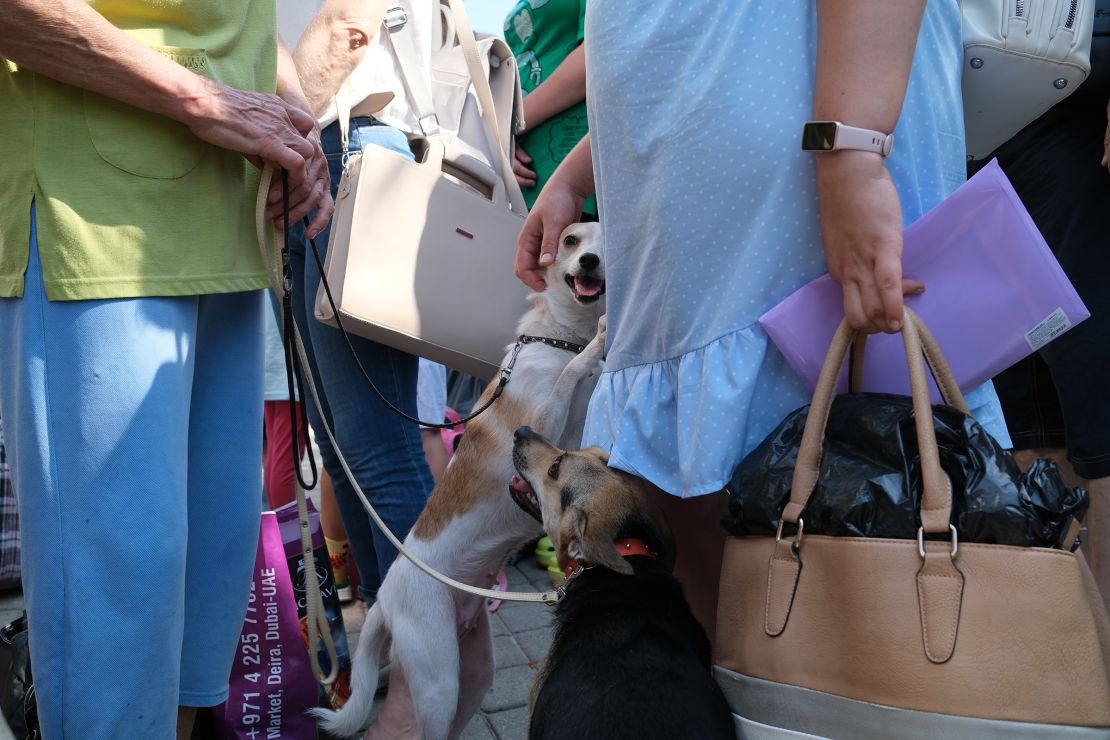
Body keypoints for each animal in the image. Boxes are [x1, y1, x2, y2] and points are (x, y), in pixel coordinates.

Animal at [313, 222, 608, 740]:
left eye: (602, 239)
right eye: (571, 240)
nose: (590, 260)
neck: (560, 338)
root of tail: (384, 598)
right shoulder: (543, 430)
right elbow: (572, 374)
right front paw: (597, 347)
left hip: (473, 675)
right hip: (437, 682)